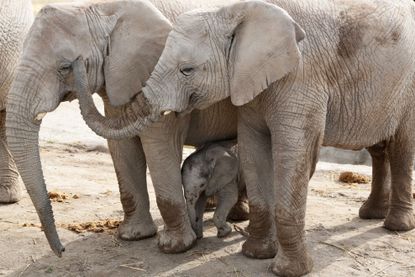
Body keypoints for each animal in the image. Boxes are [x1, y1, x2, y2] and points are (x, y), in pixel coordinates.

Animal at [6, 0, 247, 256]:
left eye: (64, 67)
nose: (61, 251)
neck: (99, 8)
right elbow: (123, 149)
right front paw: (133, 236)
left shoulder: (157, 75)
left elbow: (159, 147)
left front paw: (175, 247)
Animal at [73, 0, 415, 274]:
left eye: (187, 70)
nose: (75, 62)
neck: (235, 11)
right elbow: (253, 150)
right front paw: (256, 254)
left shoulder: (303, 79)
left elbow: (293, 154)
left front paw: (288, 271)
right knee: (380, 149)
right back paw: (372, 215)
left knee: (401, 148)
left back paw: (396, 226)